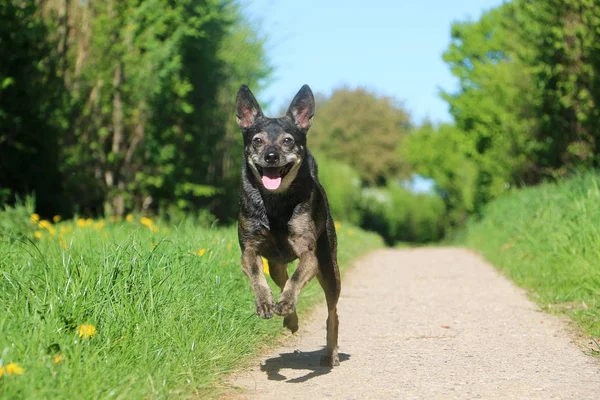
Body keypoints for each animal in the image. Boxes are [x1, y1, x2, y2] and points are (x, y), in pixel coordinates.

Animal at [238, 86, 344, 368]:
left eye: (287, 141)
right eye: (257, 141)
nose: (271, 155)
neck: (275, 203)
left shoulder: (309, 255)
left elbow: (296, 280)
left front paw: (284, 302)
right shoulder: (249, 250)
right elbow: (257, 276)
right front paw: (266, 303)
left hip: (329, 270)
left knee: (332, 312)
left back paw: (331, 353)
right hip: (276, 265)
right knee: (281, 278)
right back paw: (291, 317)